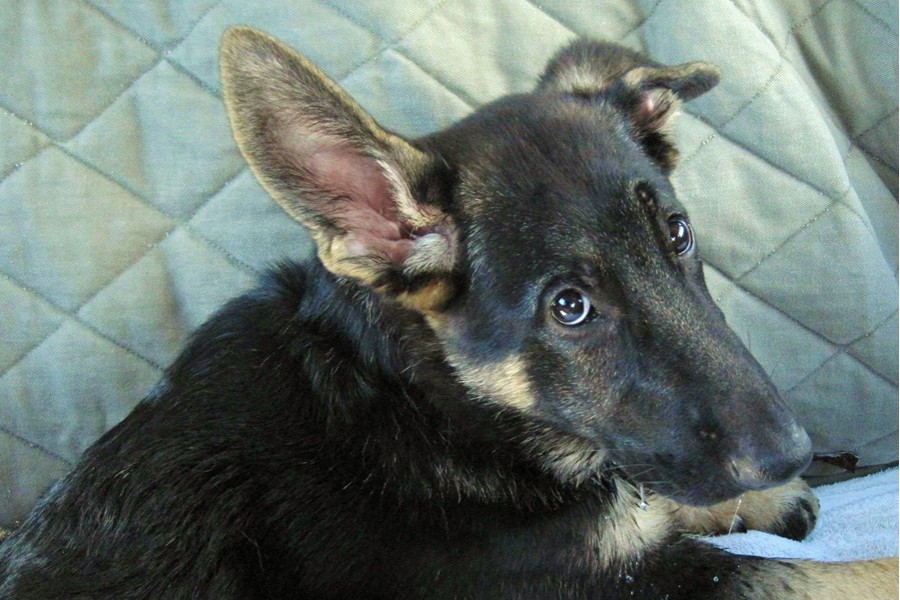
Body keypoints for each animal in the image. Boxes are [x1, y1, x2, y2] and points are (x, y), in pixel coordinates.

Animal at [0, 27, 895, 599]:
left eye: (676, 234)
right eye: (570, 308)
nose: (793, 452)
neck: (427, 406)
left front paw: (754, 500)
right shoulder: (608, 584)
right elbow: (837, 573)